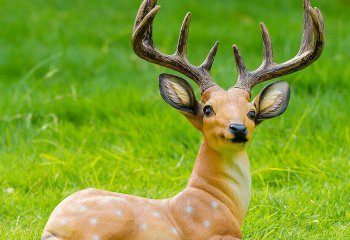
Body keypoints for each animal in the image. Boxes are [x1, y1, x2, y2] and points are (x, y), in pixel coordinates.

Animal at [42, 0, 324, 240]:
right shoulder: (219, 234)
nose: (238, 128)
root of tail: (52, 227)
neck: (219, 204)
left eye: (251, 112)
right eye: (208, 109)